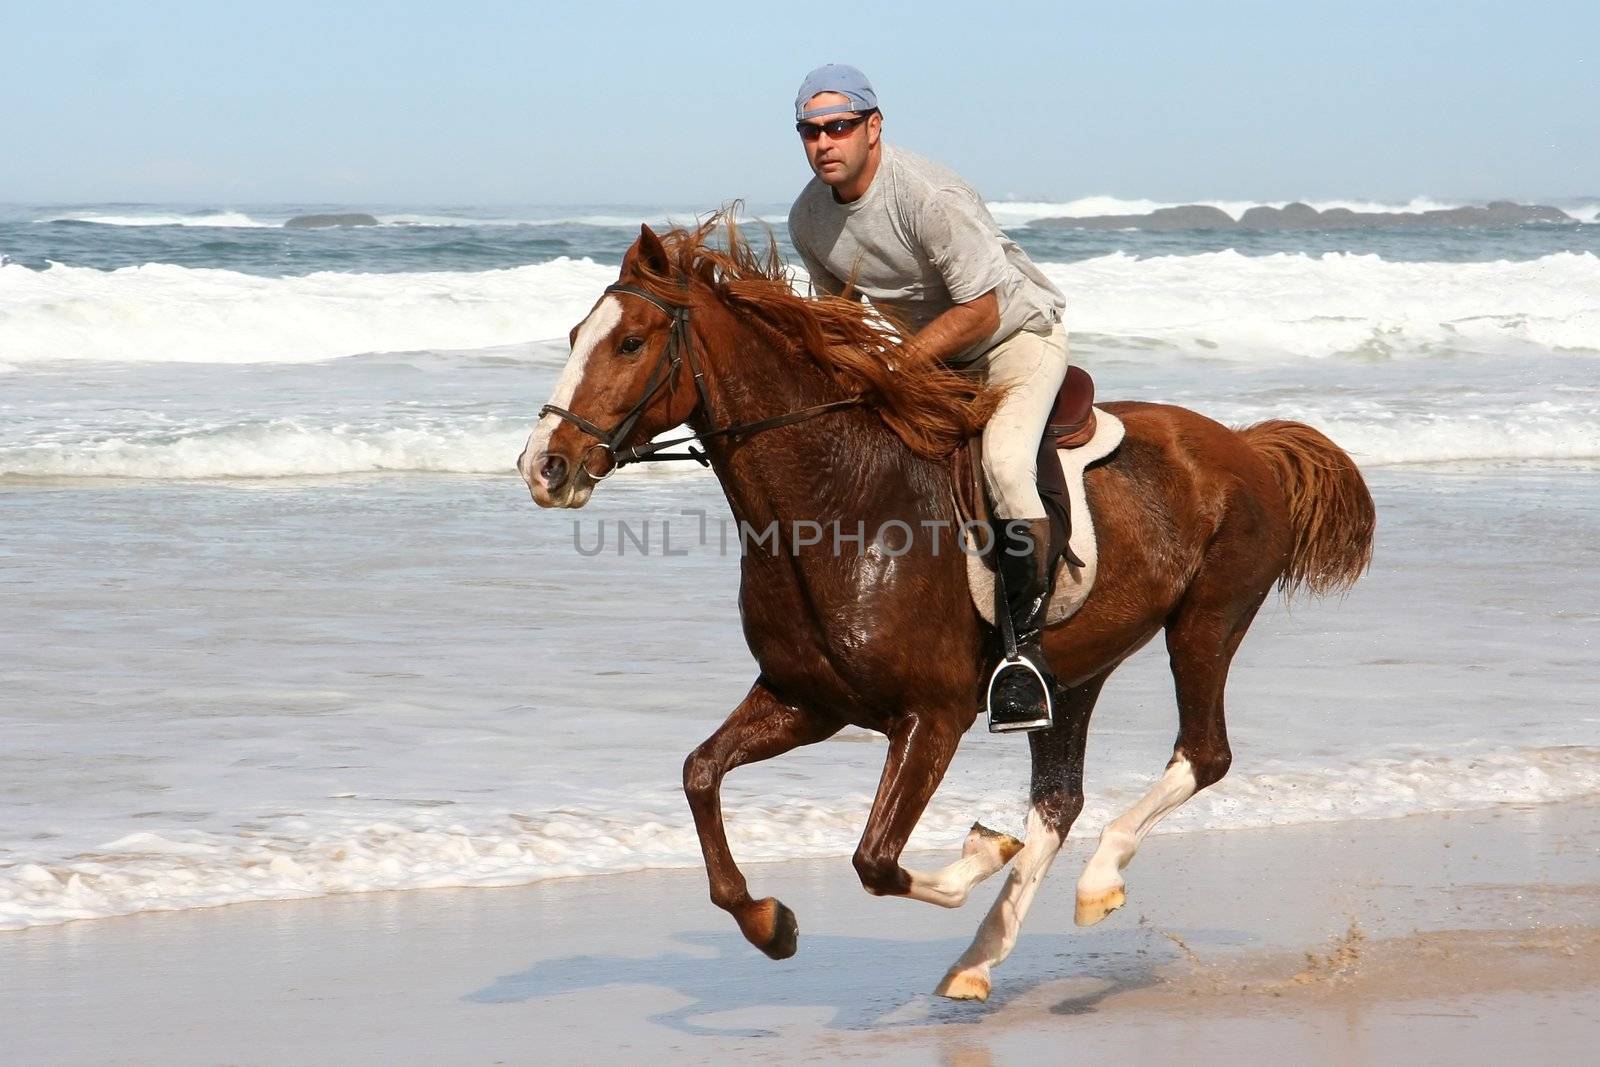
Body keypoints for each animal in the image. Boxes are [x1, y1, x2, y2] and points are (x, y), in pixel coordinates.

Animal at [515, 217, 1376, 1004]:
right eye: (575, 335)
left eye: (630, 343)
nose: (544, 466)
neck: (839, 504)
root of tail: (1247, 445)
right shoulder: (806, 701)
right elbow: (700, 774)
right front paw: (769, 922)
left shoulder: (931, 718)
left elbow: (873, 859)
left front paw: (981, 853)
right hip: (1074, 670)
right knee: (1060, 799)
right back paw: (981, 957)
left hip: (1206, 621)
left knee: (1202, 754)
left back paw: (1095, 880)